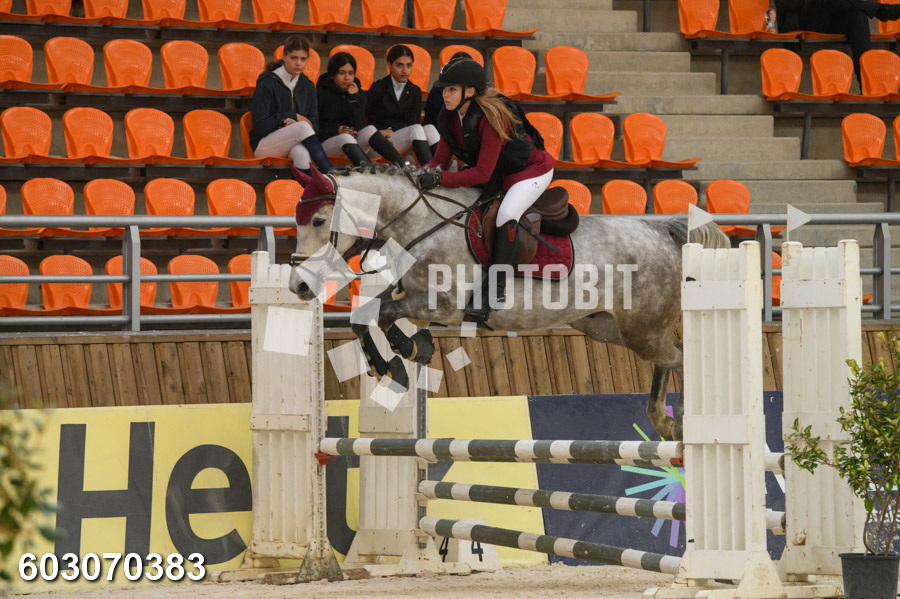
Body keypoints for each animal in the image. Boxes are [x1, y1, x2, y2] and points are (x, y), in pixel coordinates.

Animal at [288, 165, 730, 441]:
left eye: (318, 221)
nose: (298, 286)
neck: (421, 224)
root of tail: (661, 230)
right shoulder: (413, 296)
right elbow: (367, 314)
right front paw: (410, 352)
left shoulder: (441, 305)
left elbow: (378, 314)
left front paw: (396, 361)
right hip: (609, 327)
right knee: (670, 356)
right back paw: (663, 422)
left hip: (642, 329)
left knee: (681, 357)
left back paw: (684, 424)